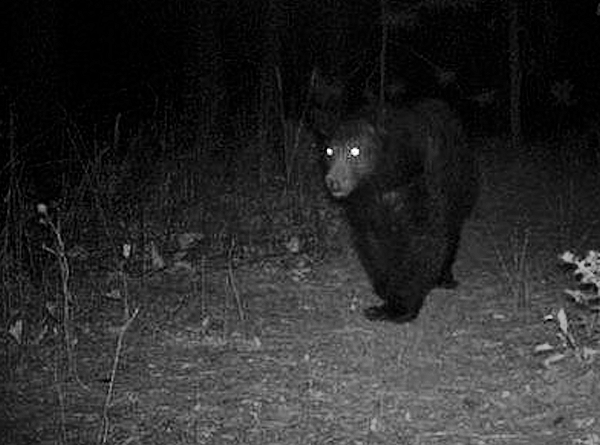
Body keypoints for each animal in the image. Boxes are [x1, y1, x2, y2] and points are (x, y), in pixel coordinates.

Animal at [322, 99, 480, 322]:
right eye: (329, 151)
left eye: (355, 150)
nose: (333, 181)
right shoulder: (365, 204)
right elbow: (372, 243)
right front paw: (385, 289)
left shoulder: (422, 186)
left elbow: (424, 240)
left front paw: (398, 306)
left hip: (459, 188)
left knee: (451, 231)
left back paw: (444, 277)